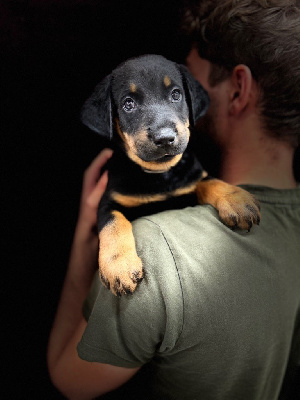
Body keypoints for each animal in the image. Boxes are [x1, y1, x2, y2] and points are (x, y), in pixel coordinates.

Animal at [81, 54, 260, 296]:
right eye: (128, 104)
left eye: (176, 94)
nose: (165, 138)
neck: (161, 175)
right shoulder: (109, 201)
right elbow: (113, 224)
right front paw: (119, 267)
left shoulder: (191, 180)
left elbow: (210, 181)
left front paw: (237, 200)